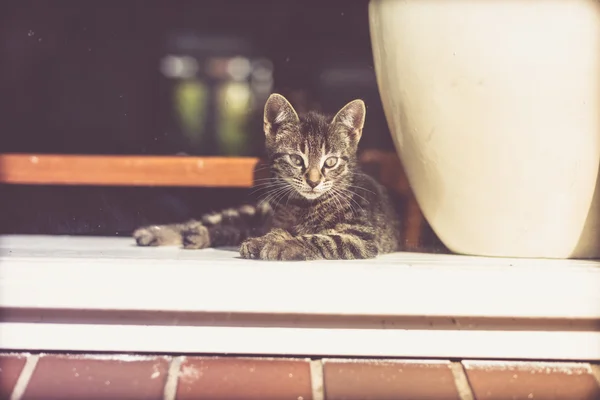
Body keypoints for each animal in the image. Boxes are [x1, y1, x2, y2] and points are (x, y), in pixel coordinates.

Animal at [134, 95, 400, 260]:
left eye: (331, 162)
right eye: (296, 160)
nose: (313, 181)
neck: (302, 206)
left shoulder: (360, 237)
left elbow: (319, 239)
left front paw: (277, 244)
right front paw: (274, 240)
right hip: (254, 211)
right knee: (212, 221)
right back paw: (158, 233)